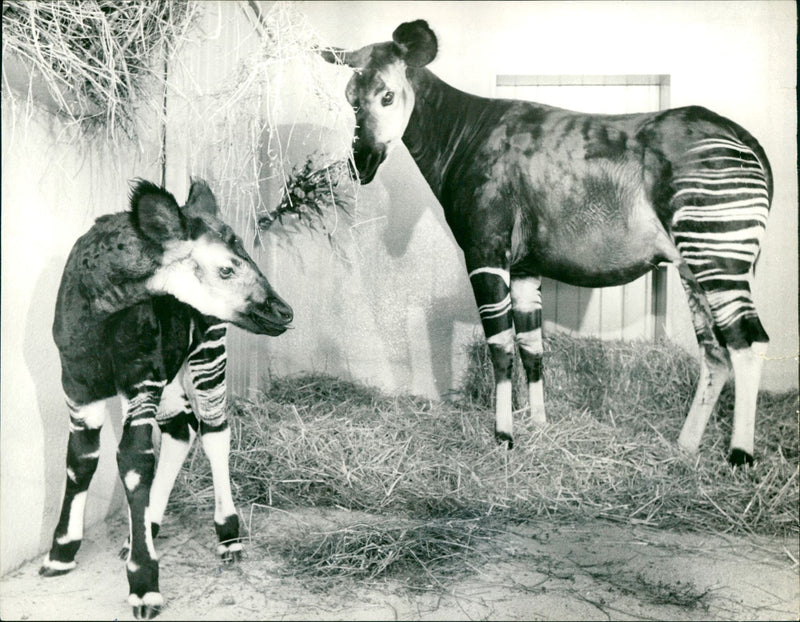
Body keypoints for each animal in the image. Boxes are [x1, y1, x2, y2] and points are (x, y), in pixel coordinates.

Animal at [40, 178, 294, 620]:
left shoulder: (140, 379)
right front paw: (61, 554)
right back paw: (144, 528)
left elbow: (134, 460)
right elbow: (81, 460)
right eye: (226, 268)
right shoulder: (78, 384)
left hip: (208, 347)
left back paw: (228, 536)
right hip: (169, 373)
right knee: (182, 428)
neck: (99, 303)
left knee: (213, 429)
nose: (284, 312)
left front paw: (144, 586)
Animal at [322, 19, 772, 468]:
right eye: (349, 101)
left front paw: (504, 435)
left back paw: (739, 456)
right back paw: (685, 446)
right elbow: (532, 347)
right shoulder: (524, 267)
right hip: (694, 262)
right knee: (716, 353)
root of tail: (745, 140)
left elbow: (501, 346)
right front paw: (538, 425)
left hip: (716, 251)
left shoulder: (486, 252)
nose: (360, 164)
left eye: (387, 96)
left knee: (748, 344)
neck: (463, 136)